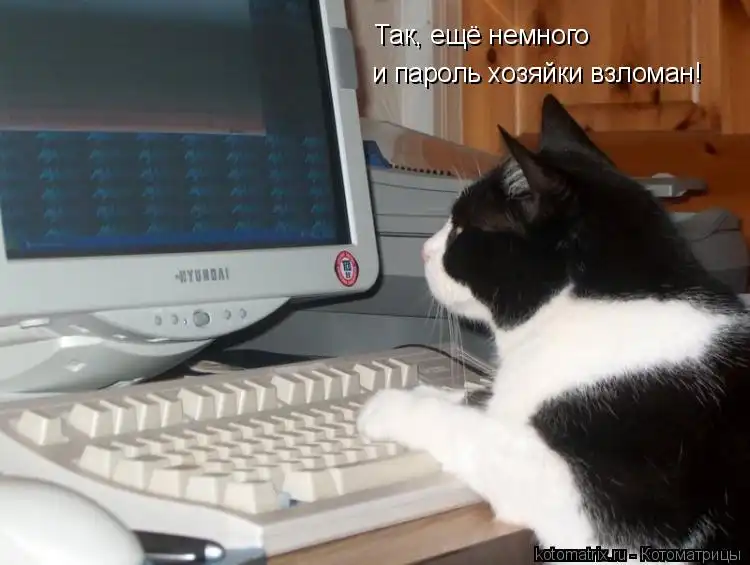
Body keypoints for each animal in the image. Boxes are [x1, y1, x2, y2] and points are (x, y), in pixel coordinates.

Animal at [357, 94, 750, 563]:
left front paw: (389, 405)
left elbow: (478, 431)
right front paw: (425, 390)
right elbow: (476, 397)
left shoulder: (591, 512)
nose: (423, 250)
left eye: (462, 229)